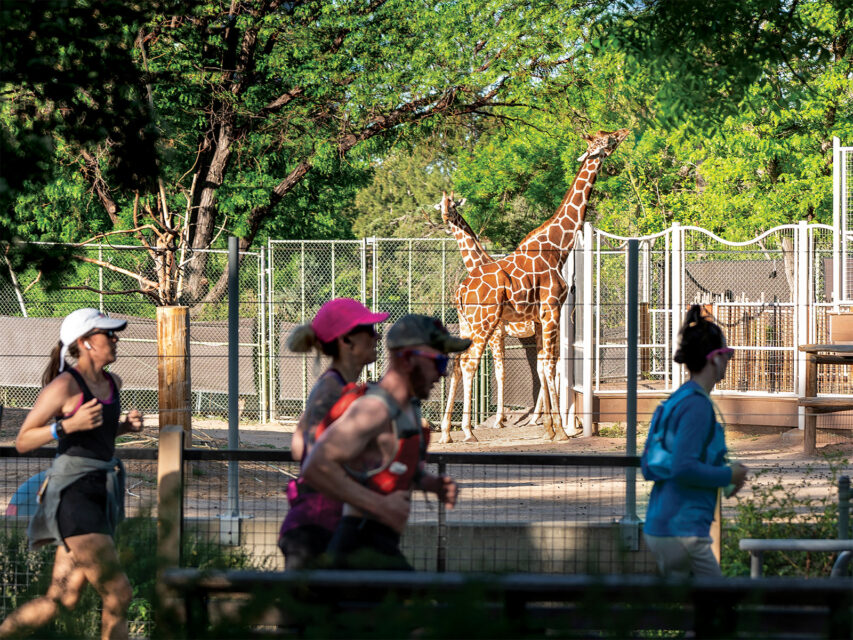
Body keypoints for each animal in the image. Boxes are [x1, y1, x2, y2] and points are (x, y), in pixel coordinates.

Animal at [437, 193, 546, 443]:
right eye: (440, 204)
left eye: (453, 205)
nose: (446, 216)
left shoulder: (496, 334)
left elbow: (499, 373)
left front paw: (498, 420)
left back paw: (539, 417)